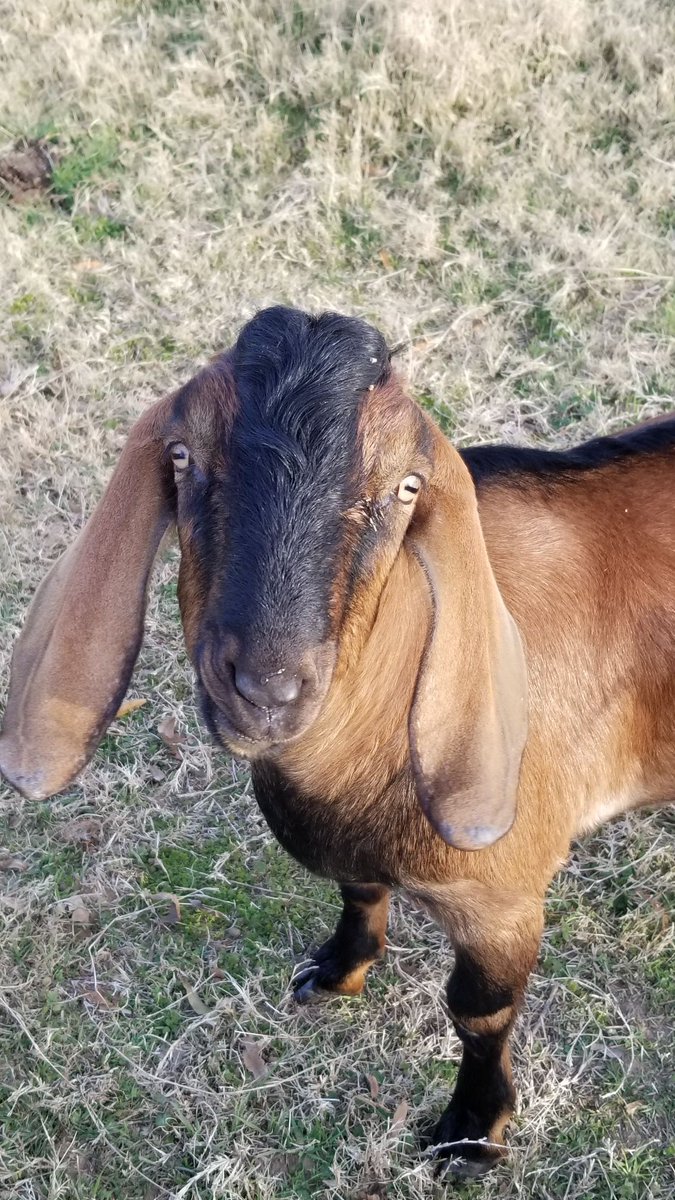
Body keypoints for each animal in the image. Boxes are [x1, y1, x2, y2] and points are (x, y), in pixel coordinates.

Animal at [2, 305, 675, 1177]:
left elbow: (478, 1013)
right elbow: (356, 889)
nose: (264, 687)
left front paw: (470, 1131)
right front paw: (337, 971)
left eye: (407, 487)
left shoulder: (503, 900)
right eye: (182, 456)